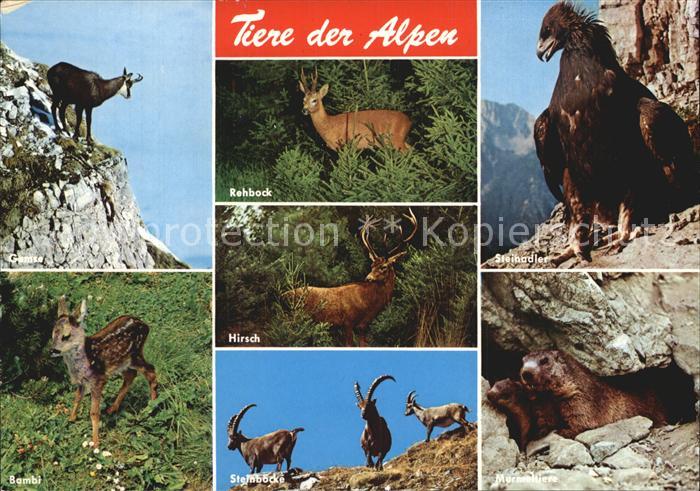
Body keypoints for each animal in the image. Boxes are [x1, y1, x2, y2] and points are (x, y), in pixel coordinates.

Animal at [50, 296, 157, 448]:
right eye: (52, 334)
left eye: (66, 336)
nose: (53, 350)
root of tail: (145, 325)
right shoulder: (82, 382)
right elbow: (77, 399)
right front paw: (71, 419)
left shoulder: (98, 380)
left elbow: (94, 413)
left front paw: (95, 442)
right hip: (122, 362)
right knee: (131, 375)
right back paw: (113, 408)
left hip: (135, 354)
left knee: (151, 370)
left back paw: (152, 405)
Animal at [284, 208, 418, 347]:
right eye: (372, 265)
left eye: (383, 267)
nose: (368, 278)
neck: (368, 305)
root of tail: (282, 296)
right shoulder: (347, 322)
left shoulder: (363, 326)